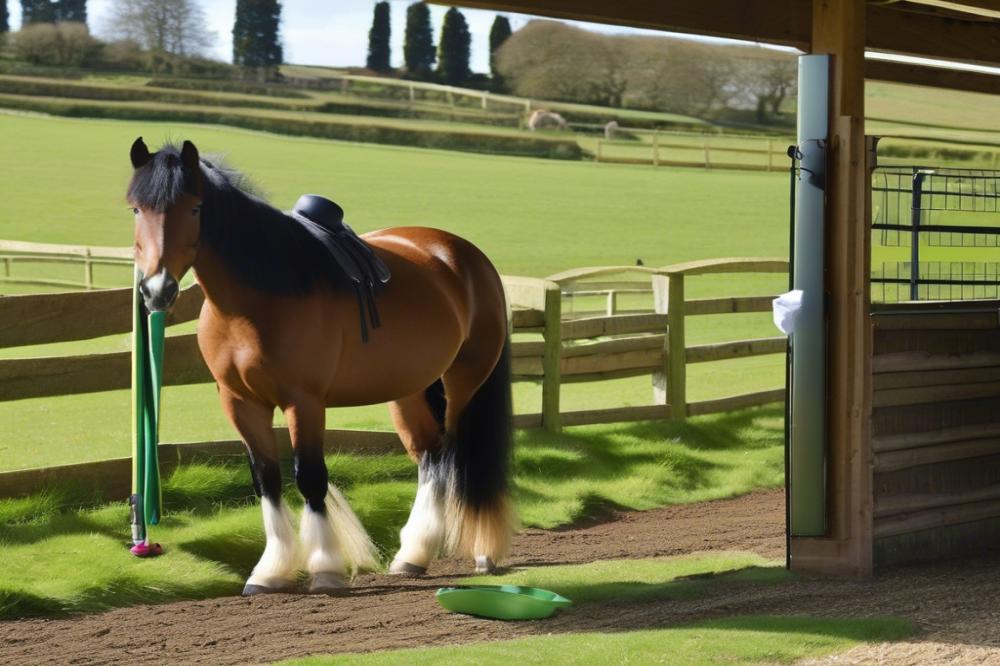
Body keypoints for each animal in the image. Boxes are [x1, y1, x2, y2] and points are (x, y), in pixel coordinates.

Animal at [127, 137, 516, 592]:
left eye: (193, 208)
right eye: (136, 209)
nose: (156, 289)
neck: (259, 298)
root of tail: (465, 256)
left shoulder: (305, 402)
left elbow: (310, 477)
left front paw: (326, 568)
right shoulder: (240, 402)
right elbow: (266, 479)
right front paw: (270, 570)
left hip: (465, 384)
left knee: (462, 457)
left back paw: (482, 550)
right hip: (412, 390)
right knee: (431, 456)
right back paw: (412, 554)